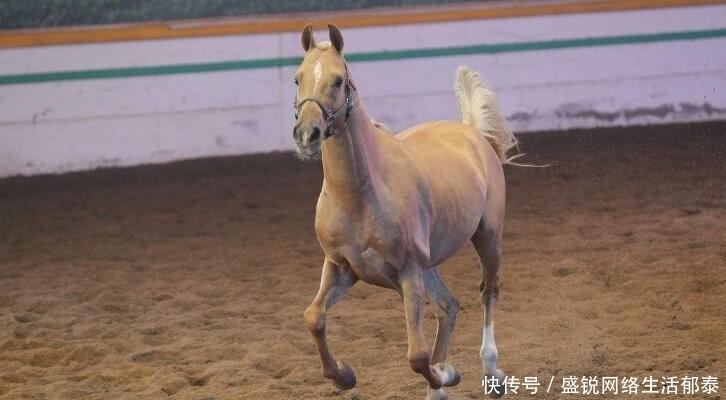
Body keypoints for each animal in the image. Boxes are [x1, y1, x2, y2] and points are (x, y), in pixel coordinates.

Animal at [293, 24, 519, 400]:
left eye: (338, 80)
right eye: (297, 79)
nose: (306, 135)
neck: (360, 193)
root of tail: (474, 133)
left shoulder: (408, 271)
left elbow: (416, 355)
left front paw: (447, 373)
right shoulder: (341, 267)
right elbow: (314, 318)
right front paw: (344, 376)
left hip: (488, 238)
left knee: (489, 291)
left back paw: (491, 371)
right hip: (429, 266)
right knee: (449, 305)